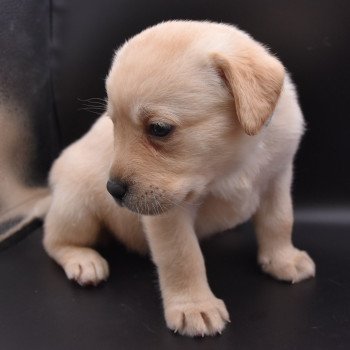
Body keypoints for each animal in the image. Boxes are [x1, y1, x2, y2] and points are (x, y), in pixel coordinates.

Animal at [43, 21, 314, 336]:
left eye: (159, 129)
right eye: (113, 124)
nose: (113, 189)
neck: (230, 164)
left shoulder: (278, 179)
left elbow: (279, 221)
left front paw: (283, 259)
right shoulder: (170, 214)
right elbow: (182, 256)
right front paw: (194, 307)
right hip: (77, 209)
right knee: (54, 241)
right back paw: (83, 261)